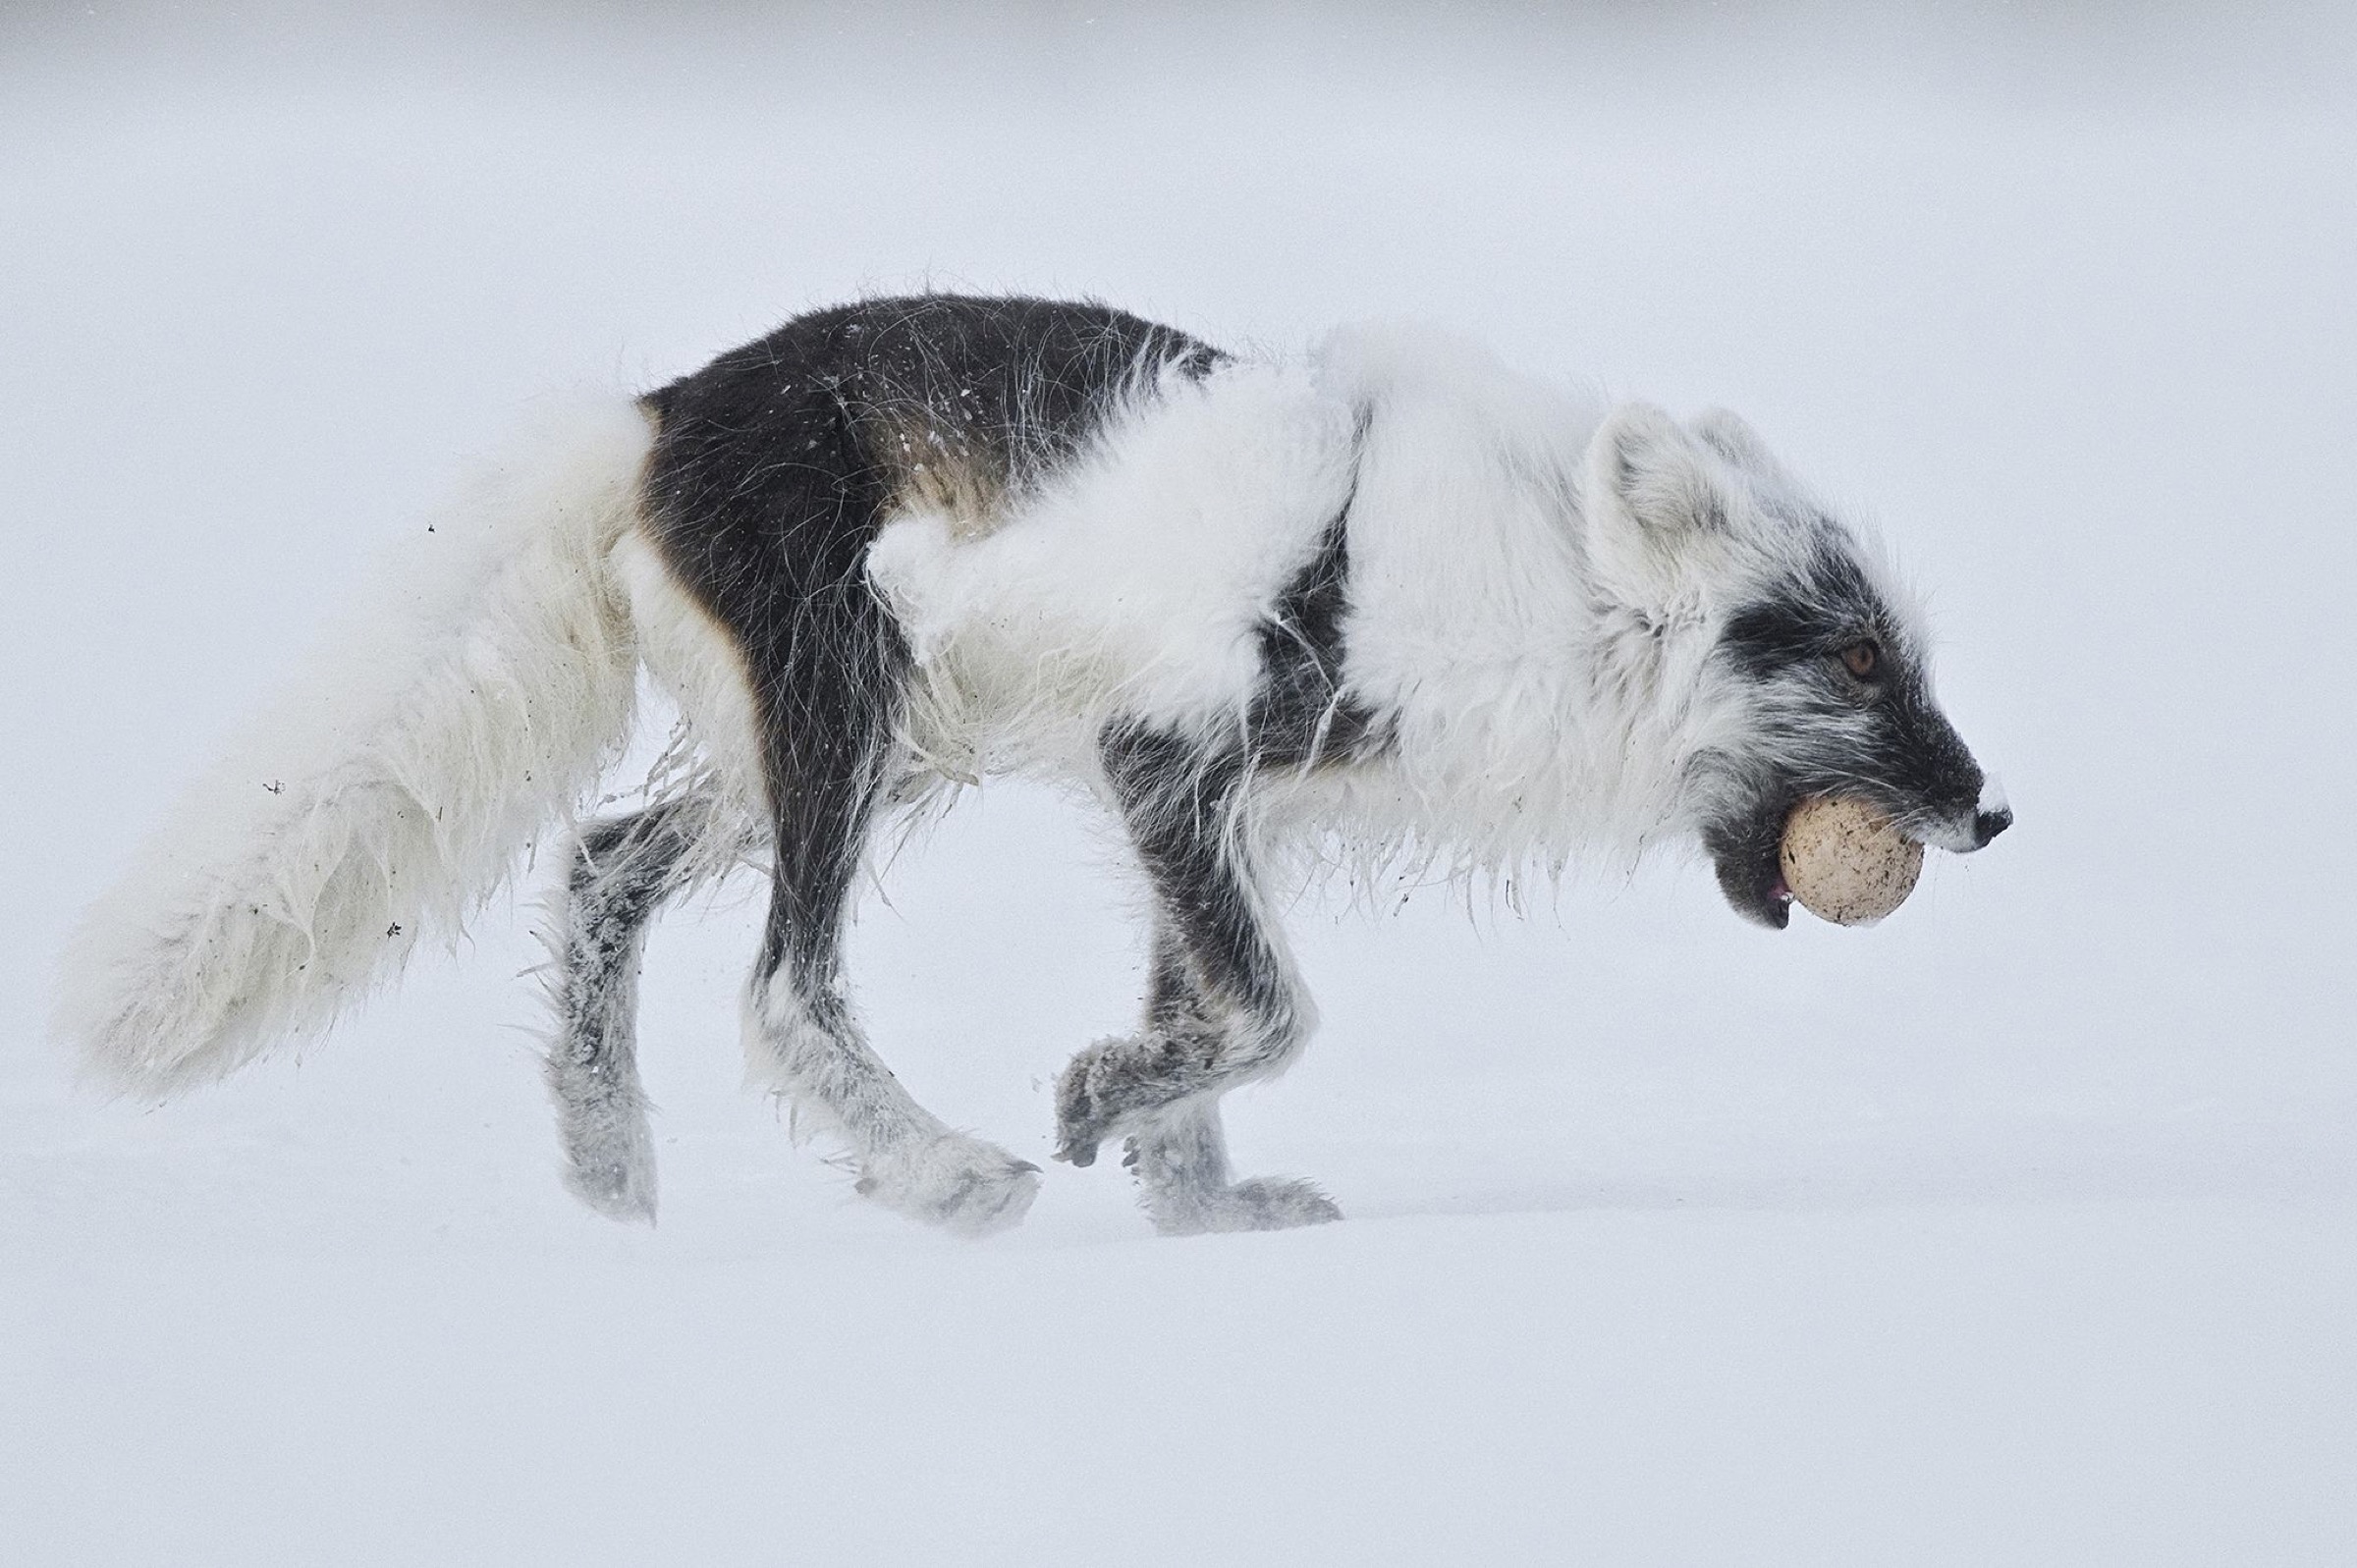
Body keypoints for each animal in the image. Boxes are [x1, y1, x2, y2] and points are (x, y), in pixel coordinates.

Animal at [56, 293, 2012, 1237]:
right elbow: (1275, 1012)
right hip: (845, 723)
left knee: (602, 862)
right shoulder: (1168, 758)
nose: (1994, 809)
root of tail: (660, 410)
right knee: (784, 989)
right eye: (1852, 654)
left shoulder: (1204, 811)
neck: (1505, 579)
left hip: (838, 753)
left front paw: (1199, 1210)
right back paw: (943, 1179)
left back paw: (612, 1174)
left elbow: (1213, 1025)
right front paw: (1090, 1109)